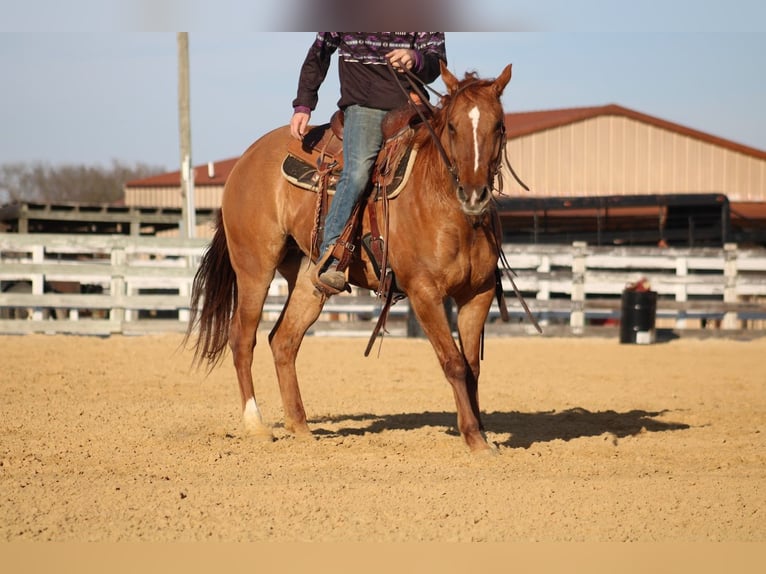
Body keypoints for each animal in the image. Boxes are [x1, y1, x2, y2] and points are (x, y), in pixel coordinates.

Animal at [186, 62, 513, 453]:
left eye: (499, 126)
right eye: (452, 126)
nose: (475, 194)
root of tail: (243, 161)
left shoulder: (477, 295)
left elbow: (472, 367)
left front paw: (481, 434)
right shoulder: (424, 293)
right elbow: (453, 362)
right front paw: (475, 440)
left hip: (309, 279)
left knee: (283, 341)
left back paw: (300, 426)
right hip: (254, 269)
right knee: (242, 338)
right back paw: (256, 424)